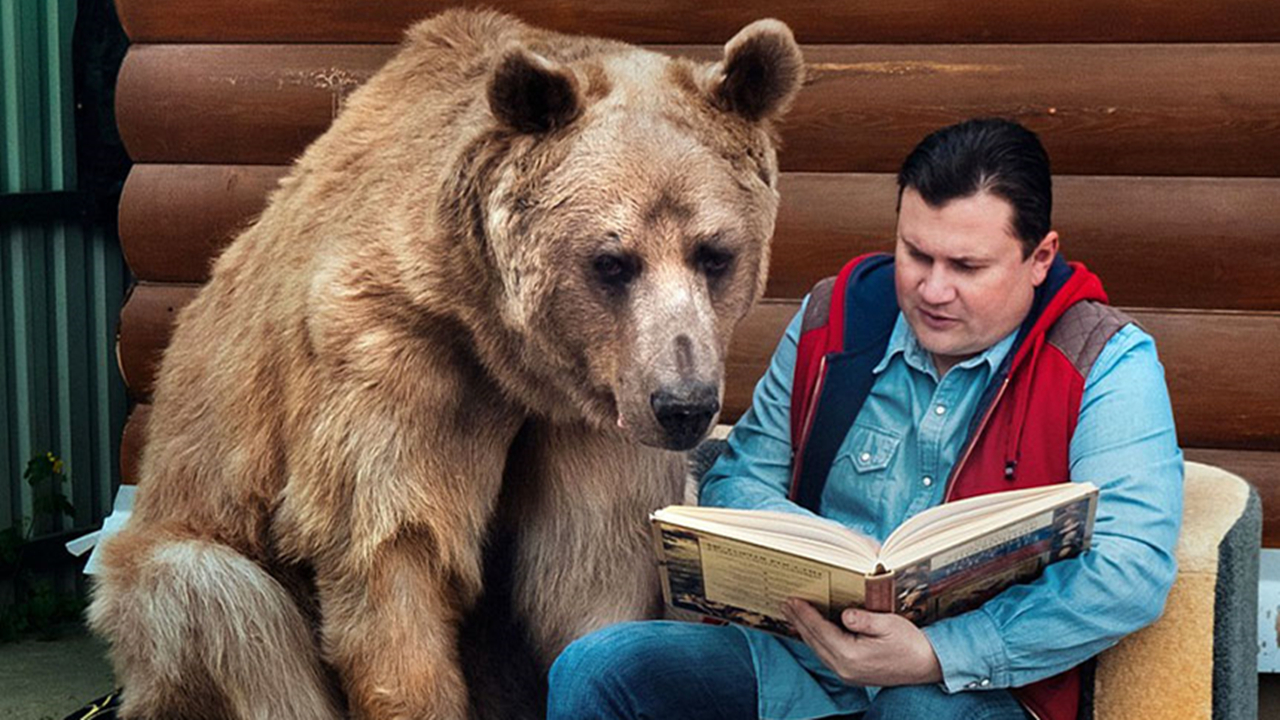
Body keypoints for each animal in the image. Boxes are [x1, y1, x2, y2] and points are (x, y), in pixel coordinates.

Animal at [90, 7, 803, 717]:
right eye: (612, 260)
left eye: (714, 253)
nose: (683, 405)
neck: (501, 345)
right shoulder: (390, 355)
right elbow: (392, 544)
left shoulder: (595, 410)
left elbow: (592, 561)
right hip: (186, 547)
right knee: (221, 607)